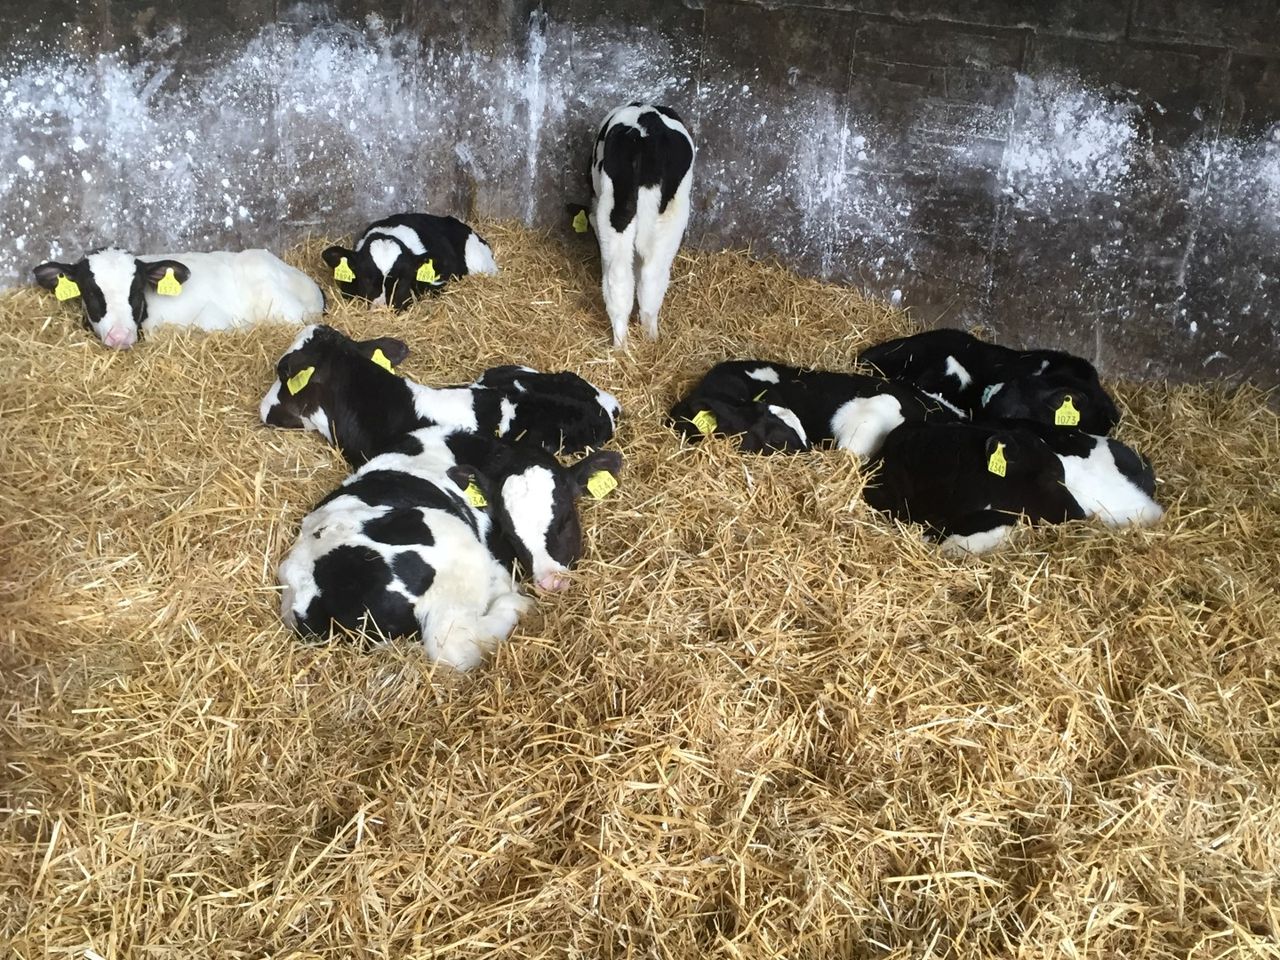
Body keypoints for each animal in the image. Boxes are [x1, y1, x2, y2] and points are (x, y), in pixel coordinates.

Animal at [279, 424, 624, 669]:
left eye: (565, 518)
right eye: (510, 534)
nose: (551, 581)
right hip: (453, 546)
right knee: (451, 644)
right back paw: (517, 604)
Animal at [590, 102, 695, 347]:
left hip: (617, 210)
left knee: (621, 275)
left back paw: (621, 344)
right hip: (671, 217)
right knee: (651, 276)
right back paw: (649, 337)